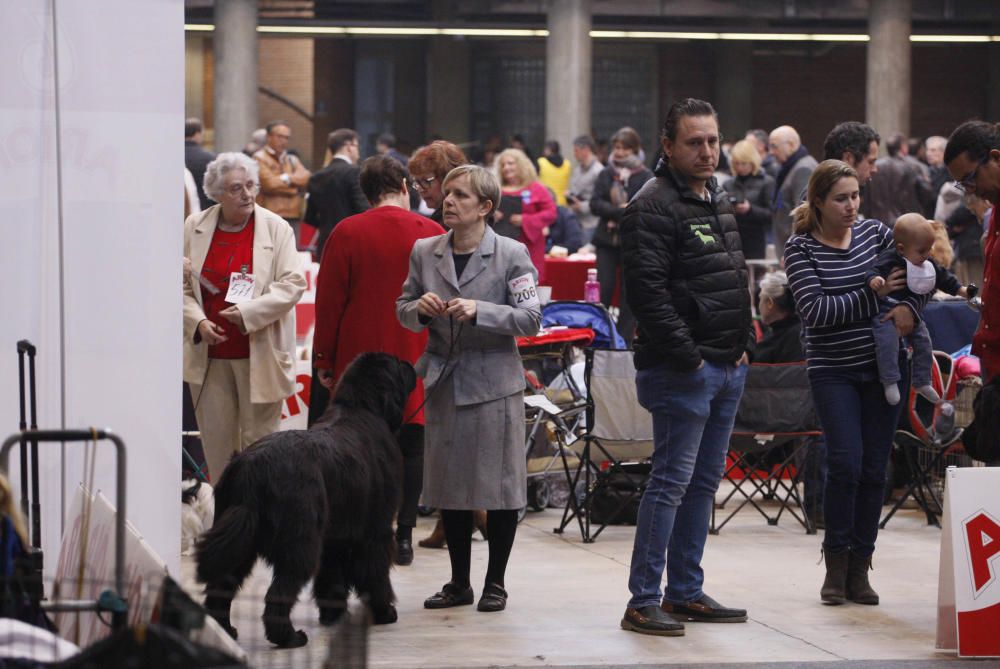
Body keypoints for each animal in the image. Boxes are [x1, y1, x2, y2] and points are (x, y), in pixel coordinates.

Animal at [195, 352, 414, 644]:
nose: (411, 365)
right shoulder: (376, 529)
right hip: (299, 543)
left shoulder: (335, 537)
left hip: (238, 539)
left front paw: (333, 614)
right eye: (398, 364)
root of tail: (251, 469)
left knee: (221, 585)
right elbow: (375, 572)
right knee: (278, 592)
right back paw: (288, 637)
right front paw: (384, 611)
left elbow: (331, 577)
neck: (362, 407)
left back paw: (225, 631)